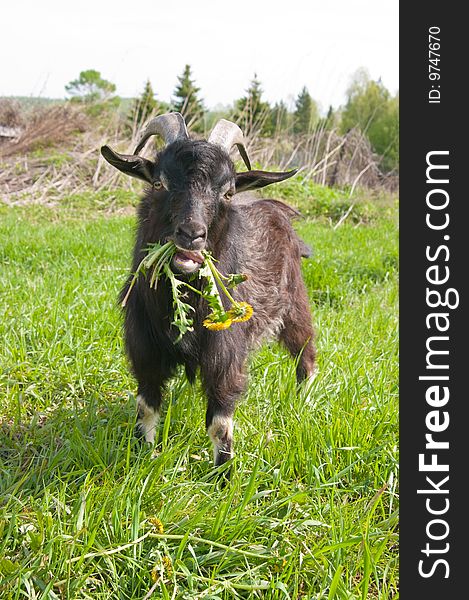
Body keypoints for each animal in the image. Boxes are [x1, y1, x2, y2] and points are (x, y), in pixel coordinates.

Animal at [100, 112, 316, 468]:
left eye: (227, 193)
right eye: (159, 183)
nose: (191, 234)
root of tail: (279, 210)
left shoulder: (224, 352)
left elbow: (220, 423)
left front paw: (223, 473)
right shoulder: (144, 346)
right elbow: (146, 407)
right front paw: (143, 456)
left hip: (295, 305)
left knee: (306, 354)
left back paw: (304, 402)